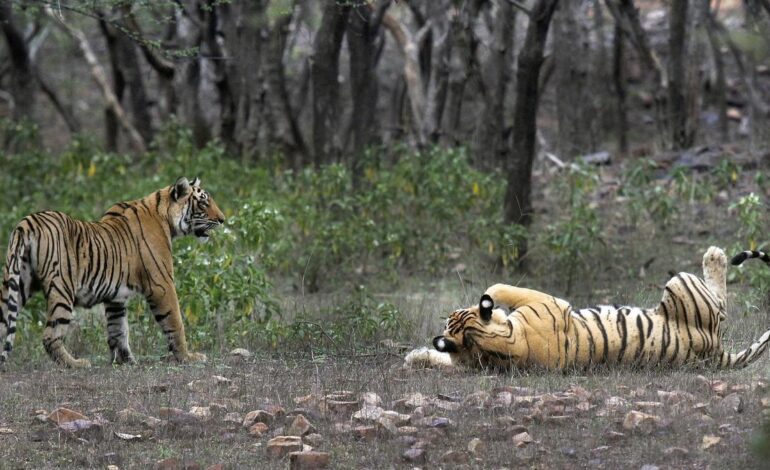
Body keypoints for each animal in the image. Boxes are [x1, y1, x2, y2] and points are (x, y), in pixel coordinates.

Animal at [0, 176, 224, 368]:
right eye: (203, 203)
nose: (222, 220)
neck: (165, 217)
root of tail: (27, 222)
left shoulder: (115, 297)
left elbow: (118, 329)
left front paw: (125, 361)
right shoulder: (162, 284)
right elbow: (175, 323)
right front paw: (187, 357)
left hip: (16, 284)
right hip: (61, 288)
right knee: (50, 335)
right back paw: (76, 363)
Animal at [402, 246, 768, 370]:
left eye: (451, 317)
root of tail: (715, 352)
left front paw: (416, 356)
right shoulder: (548, 301)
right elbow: (497, 289)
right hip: (681, 282)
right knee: (721, 304)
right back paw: (715, 254)